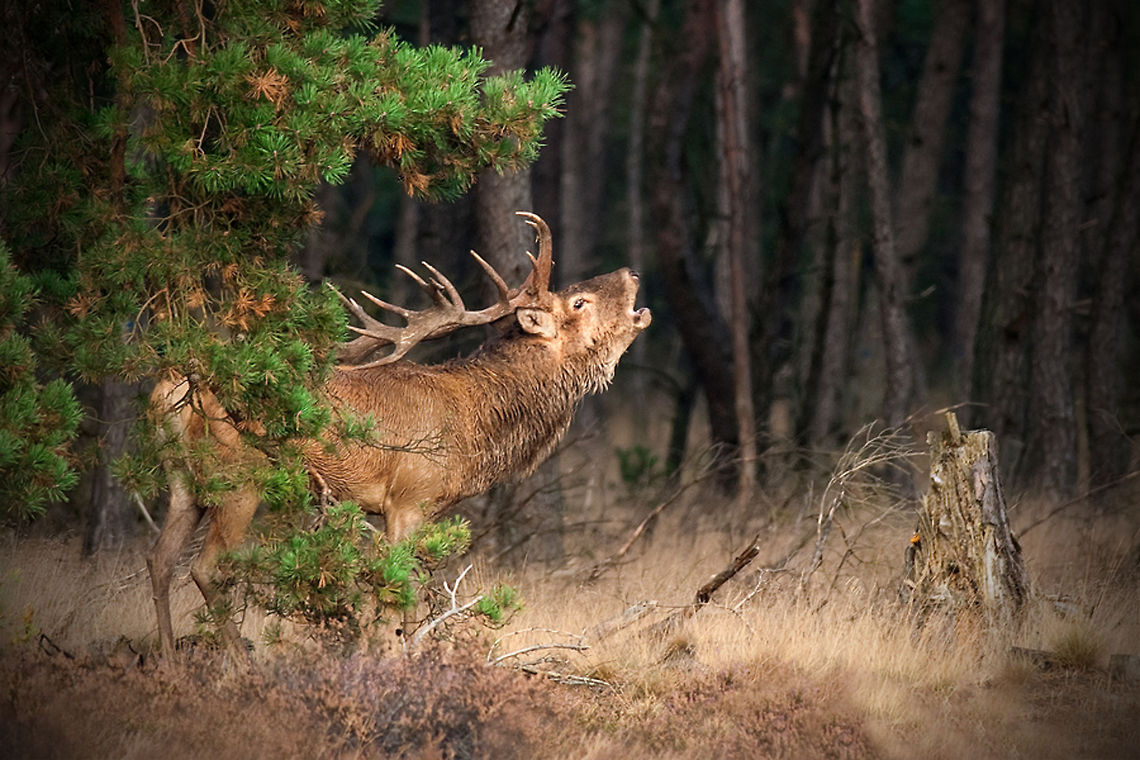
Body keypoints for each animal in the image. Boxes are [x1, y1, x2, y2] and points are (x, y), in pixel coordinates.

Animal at [146, 212, 651, 656]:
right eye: (578, 302)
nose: (631, 271)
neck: (473, 428)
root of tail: (174, 385)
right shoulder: (409, 497)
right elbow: (401, 588)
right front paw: (406, 657)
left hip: (183, 480)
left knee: (160, 560)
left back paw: (167, 660)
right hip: (241, 474)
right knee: (205, 569)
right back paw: (242, 662)